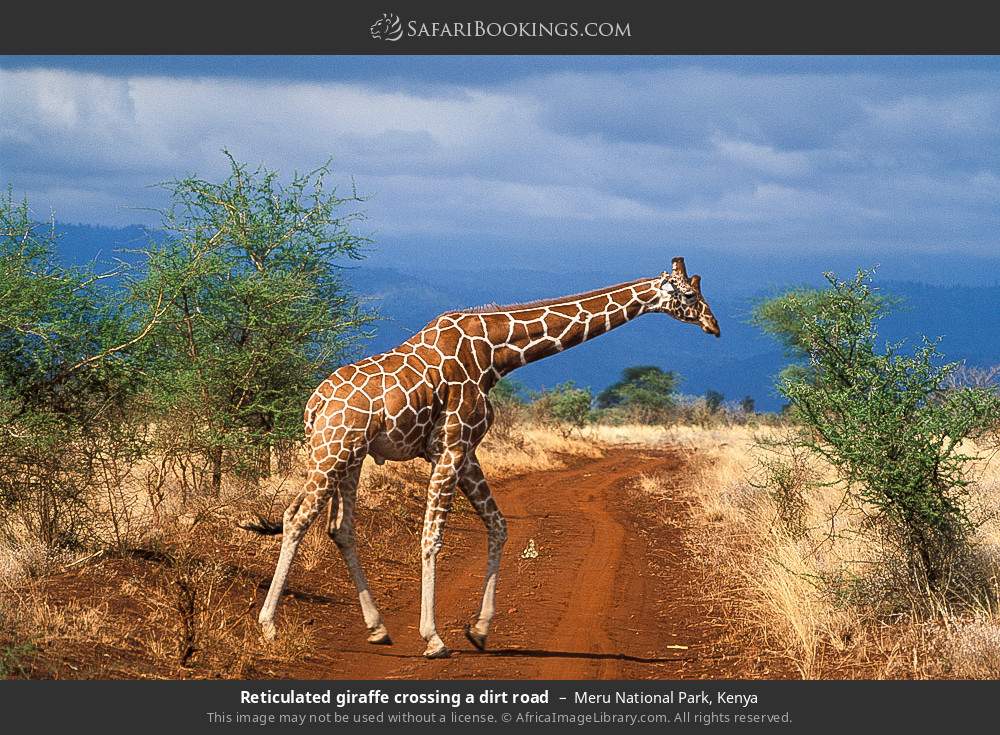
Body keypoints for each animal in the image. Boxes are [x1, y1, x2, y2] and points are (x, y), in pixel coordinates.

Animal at [249, 257, 720, 659]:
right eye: (689, 294)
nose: (714, 326)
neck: (497, 354)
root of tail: (313, 406)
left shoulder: (465, 450)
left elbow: (498, 525)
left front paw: (478, 630)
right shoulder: (453, 445)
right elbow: (432, 537)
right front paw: (435, 639)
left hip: (351, 456)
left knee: (340, 528)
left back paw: (378, 628)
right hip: (334, 449)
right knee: (297, 517)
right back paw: (268, 626)